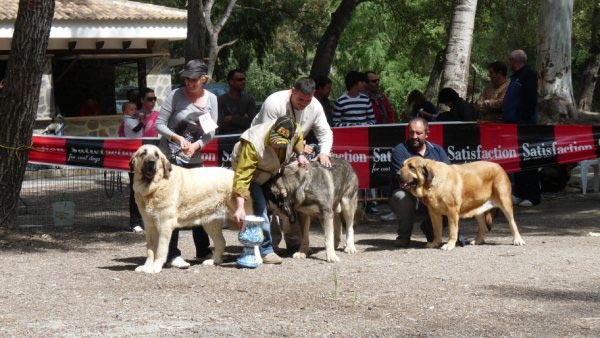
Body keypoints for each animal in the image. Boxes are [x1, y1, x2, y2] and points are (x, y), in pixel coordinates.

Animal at [130, 144, 252, 274]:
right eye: (143, 153)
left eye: (157, 155)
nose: (151, 162)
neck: (154, 188)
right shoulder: (149, 225)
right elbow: (150, 249)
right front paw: (146, 267)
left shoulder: (164, 225)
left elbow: (160, 250)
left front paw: (155, 267)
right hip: (210, 223)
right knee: (221, 242)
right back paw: (214, 261)